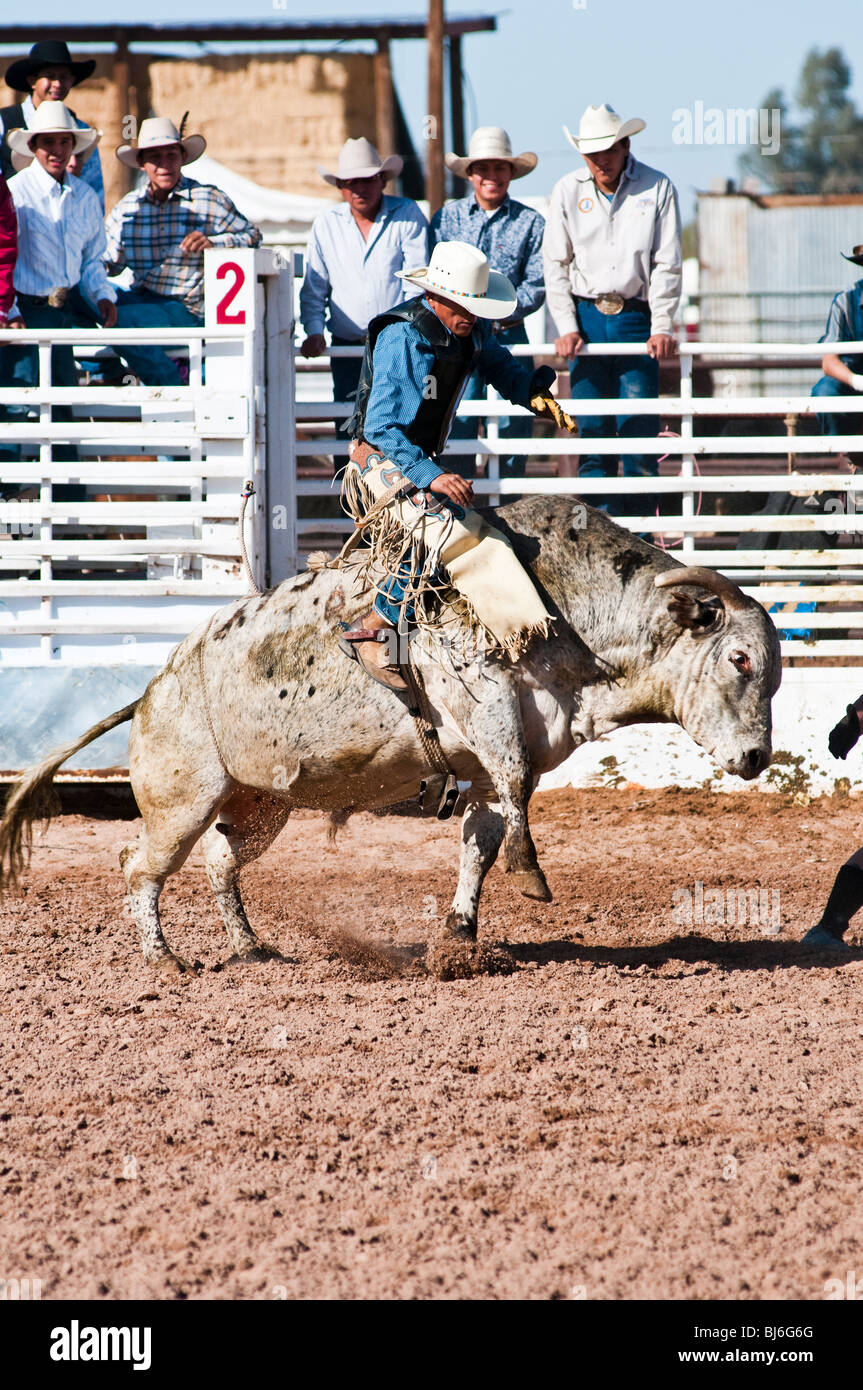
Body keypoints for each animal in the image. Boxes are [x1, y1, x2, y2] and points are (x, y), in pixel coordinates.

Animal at [0, 497, 782, 971]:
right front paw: (529, 876)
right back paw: (164, 958)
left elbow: (482, 832)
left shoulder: (487, 755)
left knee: (222, 862)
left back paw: (251, 947)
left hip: (259, 803)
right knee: (141, 864)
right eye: (740, 660)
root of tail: (153, 689)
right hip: (180, 799)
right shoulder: (485, 703)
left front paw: (460, 937)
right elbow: (515, 786)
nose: (754, 757)